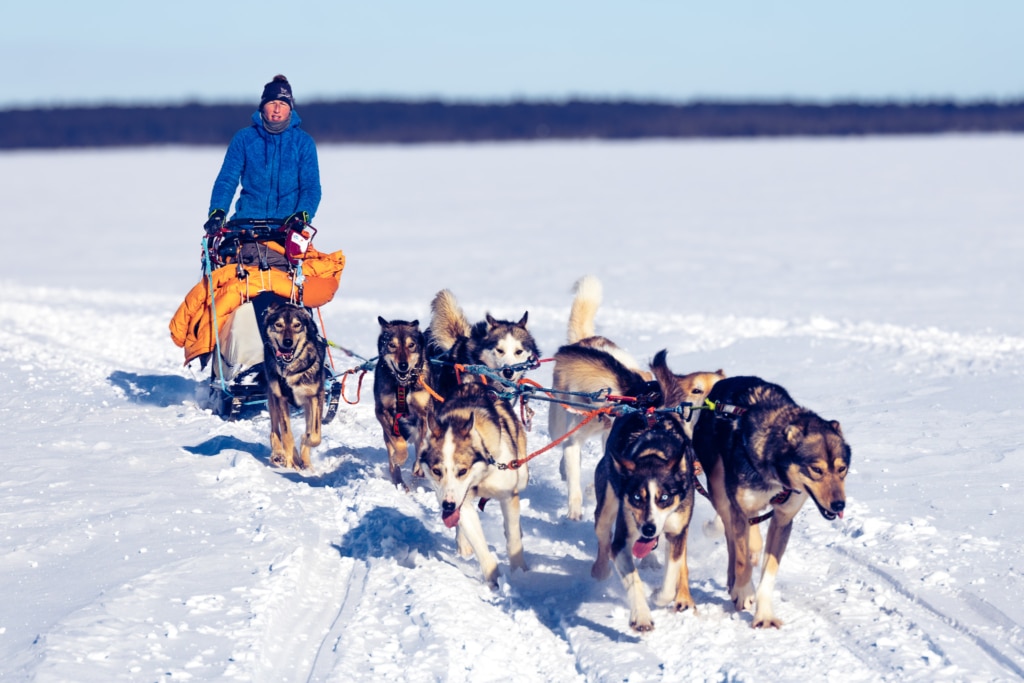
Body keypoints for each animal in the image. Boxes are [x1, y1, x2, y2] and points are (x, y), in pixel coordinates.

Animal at [262, 303, 325, 471]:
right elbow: (286, 434)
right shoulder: (281, 398)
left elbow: (314, 434)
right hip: (273, 399)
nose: (288, 342)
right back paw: (279, 454)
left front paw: (305, 441)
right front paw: (292, 459)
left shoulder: (315, 397)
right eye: (279, 325)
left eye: (297, 325)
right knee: (274, 430)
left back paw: (306, 461)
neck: (290, 369)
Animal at [417, 385, 528, 589]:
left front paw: (520, 574)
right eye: (436, 471)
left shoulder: (508, 495)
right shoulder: (461, 504)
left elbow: (514, 540)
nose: (447, 506)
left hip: (522, 474)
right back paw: (462, 544)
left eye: (462, 471)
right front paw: (495, 581)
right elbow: (480, 546)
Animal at [692, 376, 851, 626]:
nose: (839, 505)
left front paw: (764, 615)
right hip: (719, 490)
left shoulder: (783, 519)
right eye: (816, 470)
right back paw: (734, 581)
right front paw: (744, 591)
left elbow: (769, 572)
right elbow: (741, 558)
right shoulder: (739, 508)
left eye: (842, 469)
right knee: (731, 537)